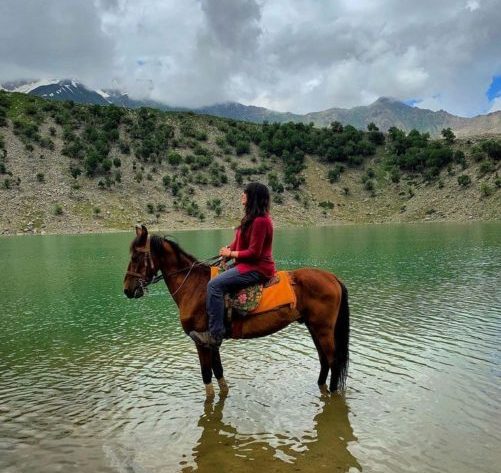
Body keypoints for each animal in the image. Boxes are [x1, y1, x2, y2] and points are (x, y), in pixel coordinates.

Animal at [123, 225, 350, 398]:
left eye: (136, 256)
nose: (127, 289)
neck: (194, 286)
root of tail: (333, 277)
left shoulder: (200, 341)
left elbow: (207, 376)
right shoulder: (211, 341)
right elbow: (218, 372)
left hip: (322, 329)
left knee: (333, 361)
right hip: (314, 328)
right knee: (324, 361)